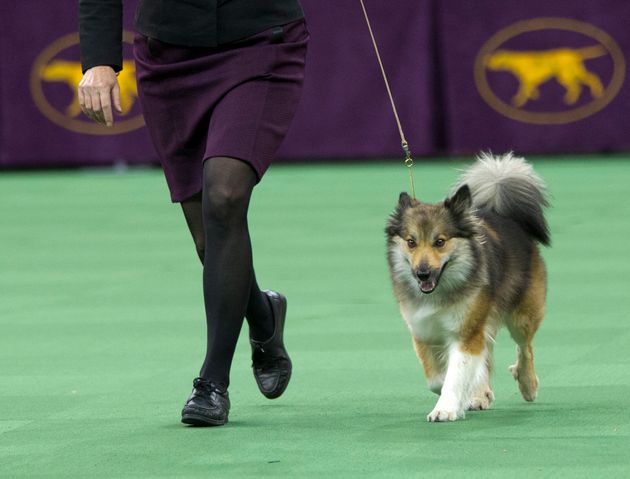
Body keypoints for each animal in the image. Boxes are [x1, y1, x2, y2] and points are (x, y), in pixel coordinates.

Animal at [382, 154, 552, 424]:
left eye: (440, 242)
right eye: (411, 242)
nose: (422, 273)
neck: (439, 293)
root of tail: (501, 214)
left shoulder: (467, 330)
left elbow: (457, 372)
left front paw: (446, 408)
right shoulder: (423, 331)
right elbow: (437, 379)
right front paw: (461, 394)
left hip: (522, 315)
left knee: (525, 348)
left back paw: (527, 384)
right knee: (488, 352)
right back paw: (481, 393)